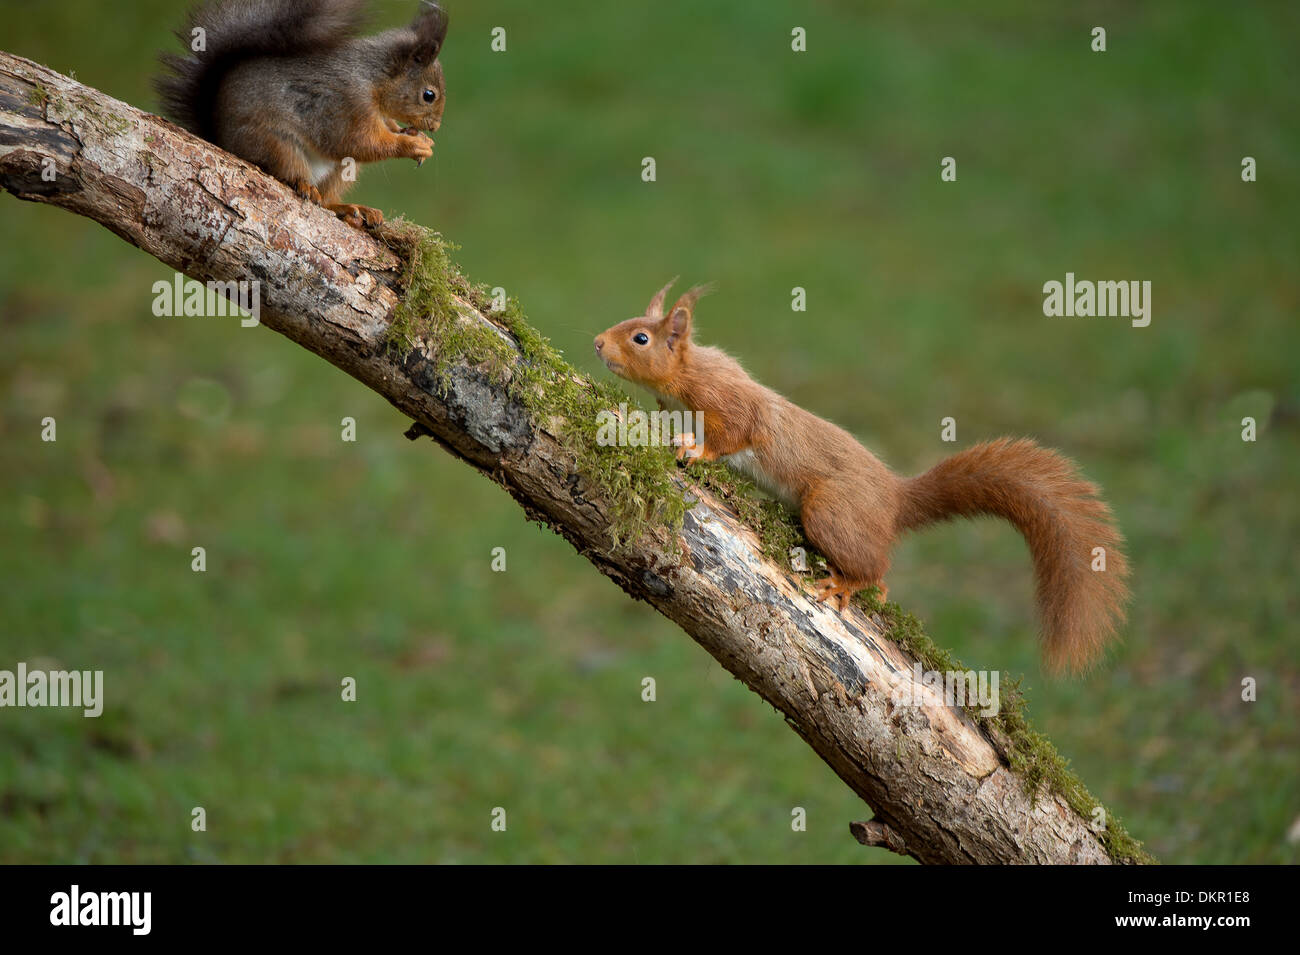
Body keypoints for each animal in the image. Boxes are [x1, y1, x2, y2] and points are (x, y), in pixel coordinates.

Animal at [155, 0, 448, 230]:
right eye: (428, 95)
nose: (435, 127)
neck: (373, 78)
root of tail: (218, 138)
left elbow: (383, 128)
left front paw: (415, 136)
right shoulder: (345, 105)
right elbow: (358, 142)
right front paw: (411, 144)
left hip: (341, 170)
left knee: (328, 200)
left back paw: (350, 208)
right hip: (277, 146)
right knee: (289, 172)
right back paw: (305, 186)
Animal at [593, 281, 1131, 674]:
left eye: (641, 338)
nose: (597, 343)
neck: (685, 377)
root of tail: (895, 499)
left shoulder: (730, 403)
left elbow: (734, 433)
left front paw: (696, 449)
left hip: (832, 509)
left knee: (876, 566)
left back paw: (846, 583)